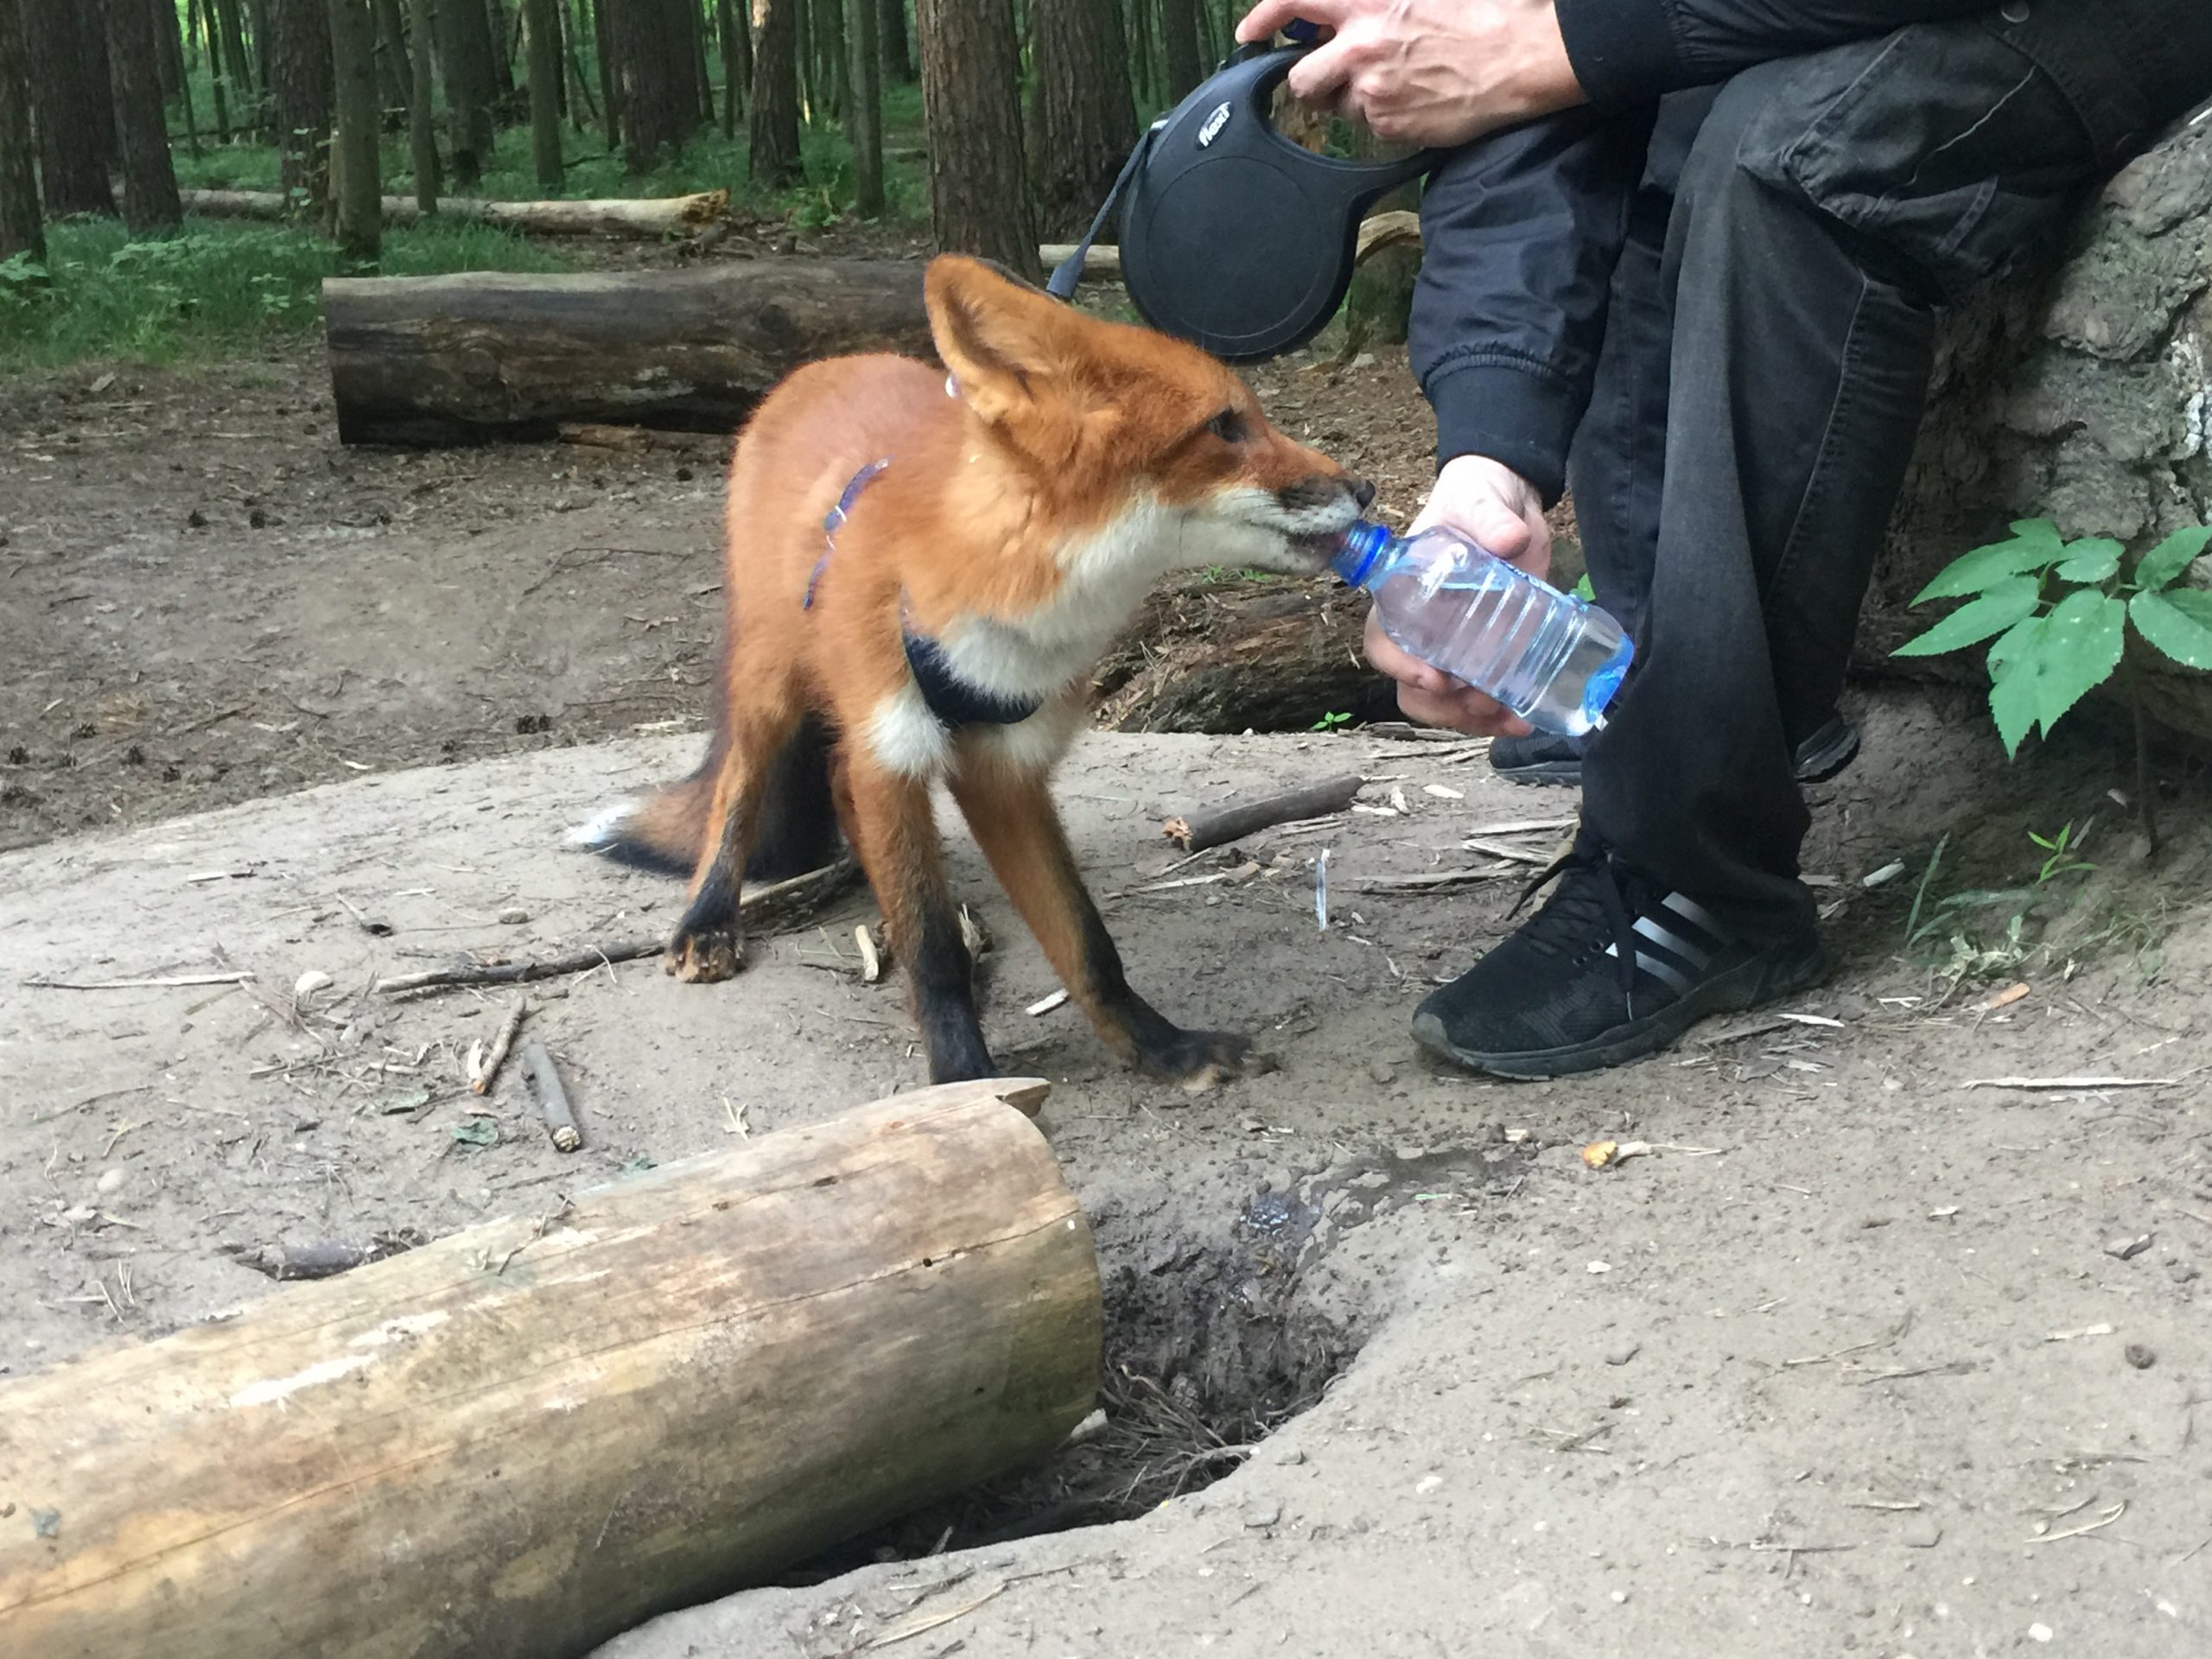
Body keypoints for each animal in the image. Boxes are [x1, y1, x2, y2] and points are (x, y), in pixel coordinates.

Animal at [571, 254, 1370, 1088]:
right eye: (1225, 426)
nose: (1367, 488)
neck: (1004, 600)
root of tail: (820, 366)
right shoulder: (892, 746)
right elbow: (933, 951)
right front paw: (965, 1084)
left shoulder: (1003, 766)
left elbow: (1088, 944)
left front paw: (1160, 1048)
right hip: (772, 683)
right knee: (736, 791)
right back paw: (707, 921)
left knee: (838, 787)